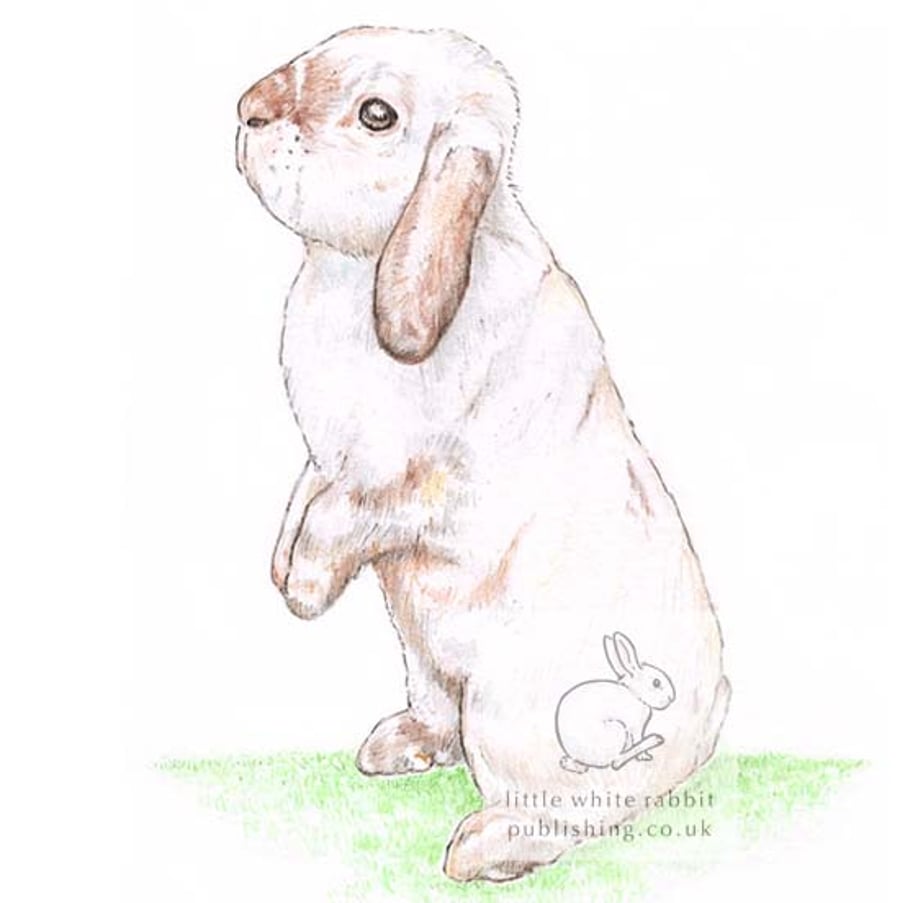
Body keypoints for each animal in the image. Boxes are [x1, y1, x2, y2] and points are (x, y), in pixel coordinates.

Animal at [555, 632, 676, 774]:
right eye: (656, 682)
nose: (671, 697)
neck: (634, 693)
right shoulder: (635, 727)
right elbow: (637, 739)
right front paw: (644, 756)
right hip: (618, 730)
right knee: (615, 762)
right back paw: (654, 740)